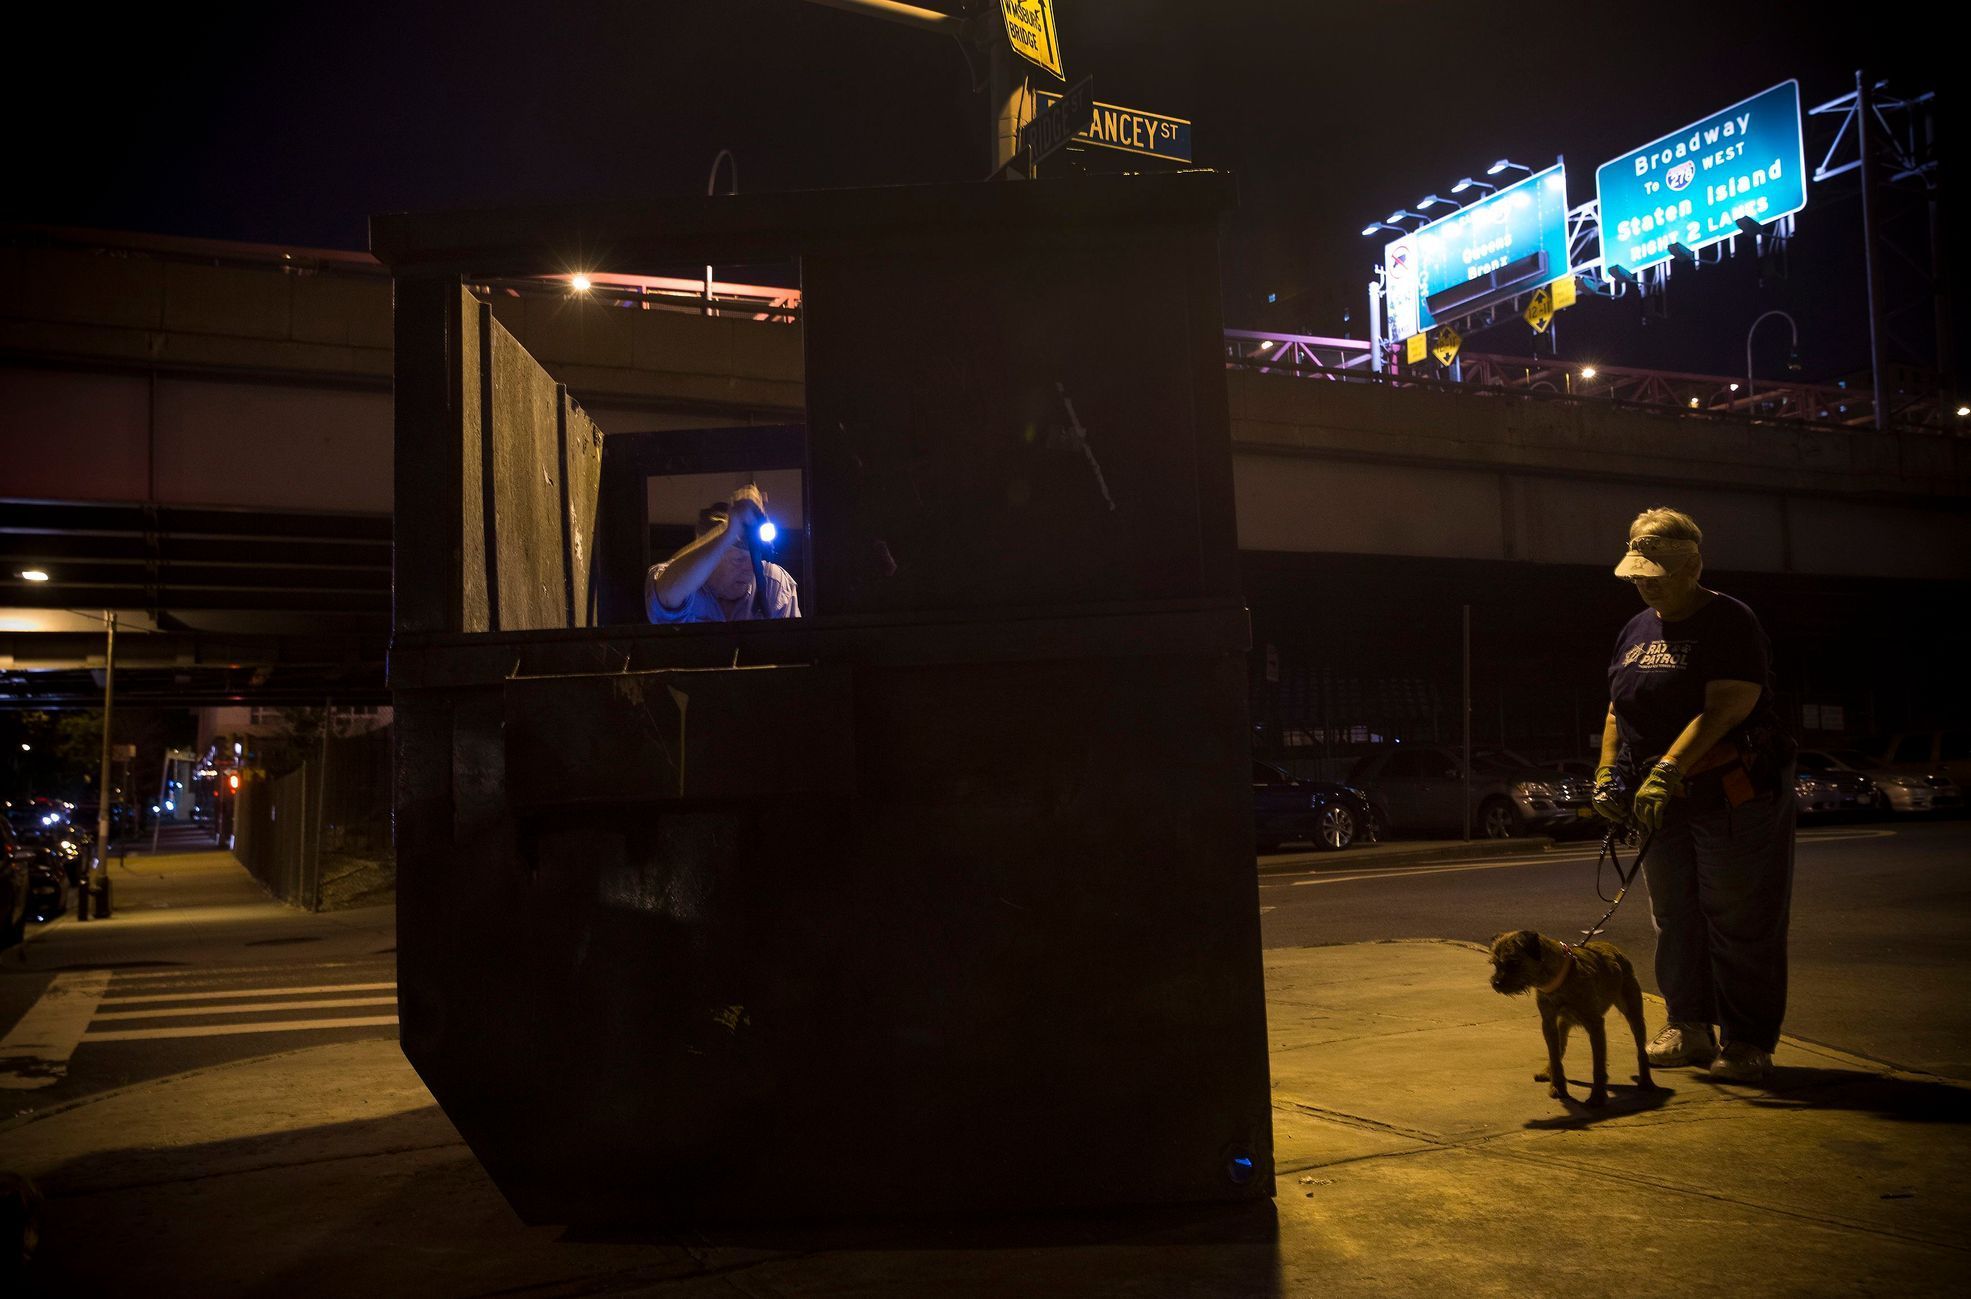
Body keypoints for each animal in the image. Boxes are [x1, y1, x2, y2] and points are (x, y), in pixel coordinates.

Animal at [1490, 934, 1647, 1111]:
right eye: (1495, 963)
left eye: (1514, 962)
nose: (1495, 984)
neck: (1560, 978)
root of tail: (1614, 948)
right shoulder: (1549, 1023)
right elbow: (1555, 1056)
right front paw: (1557, 1085)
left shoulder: (1595, 1025)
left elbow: (1598, 1065)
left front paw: (1597, 1097)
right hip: (1563, 1025)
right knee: (1559, 1049)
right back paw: (1548, 1071)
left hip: (1634, 1015)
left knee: (1641, 1049)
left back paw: (1646, 1081)